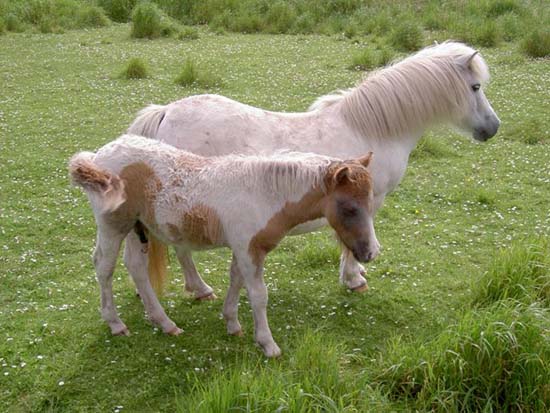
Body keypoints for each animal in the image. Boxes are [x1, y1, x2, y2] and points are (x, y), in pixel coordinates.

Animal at [69, 134, 380, 356]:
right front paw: (267, 344)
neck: (266, 194)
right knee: (104, 266)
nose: (371, 252)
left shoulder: (243, 248)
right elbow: (258, 295)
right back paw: (115, 323)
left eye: (369, 202)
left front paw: (232, 323)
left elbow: (236, 281)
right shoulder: (249, 249)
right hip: (113, 226)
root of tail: (99, 155)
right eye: (350, 208)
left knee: (136, 267)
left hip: (139, 228)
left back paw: (165, 323)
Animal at [128, 40, 500, 294]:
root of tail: (166, 112)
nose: (493, 127)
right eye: (475, 87)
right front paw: (353, 277)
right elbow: (354, 238)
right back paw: (200, 288)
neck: (371, 128)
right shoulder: (367, 201)